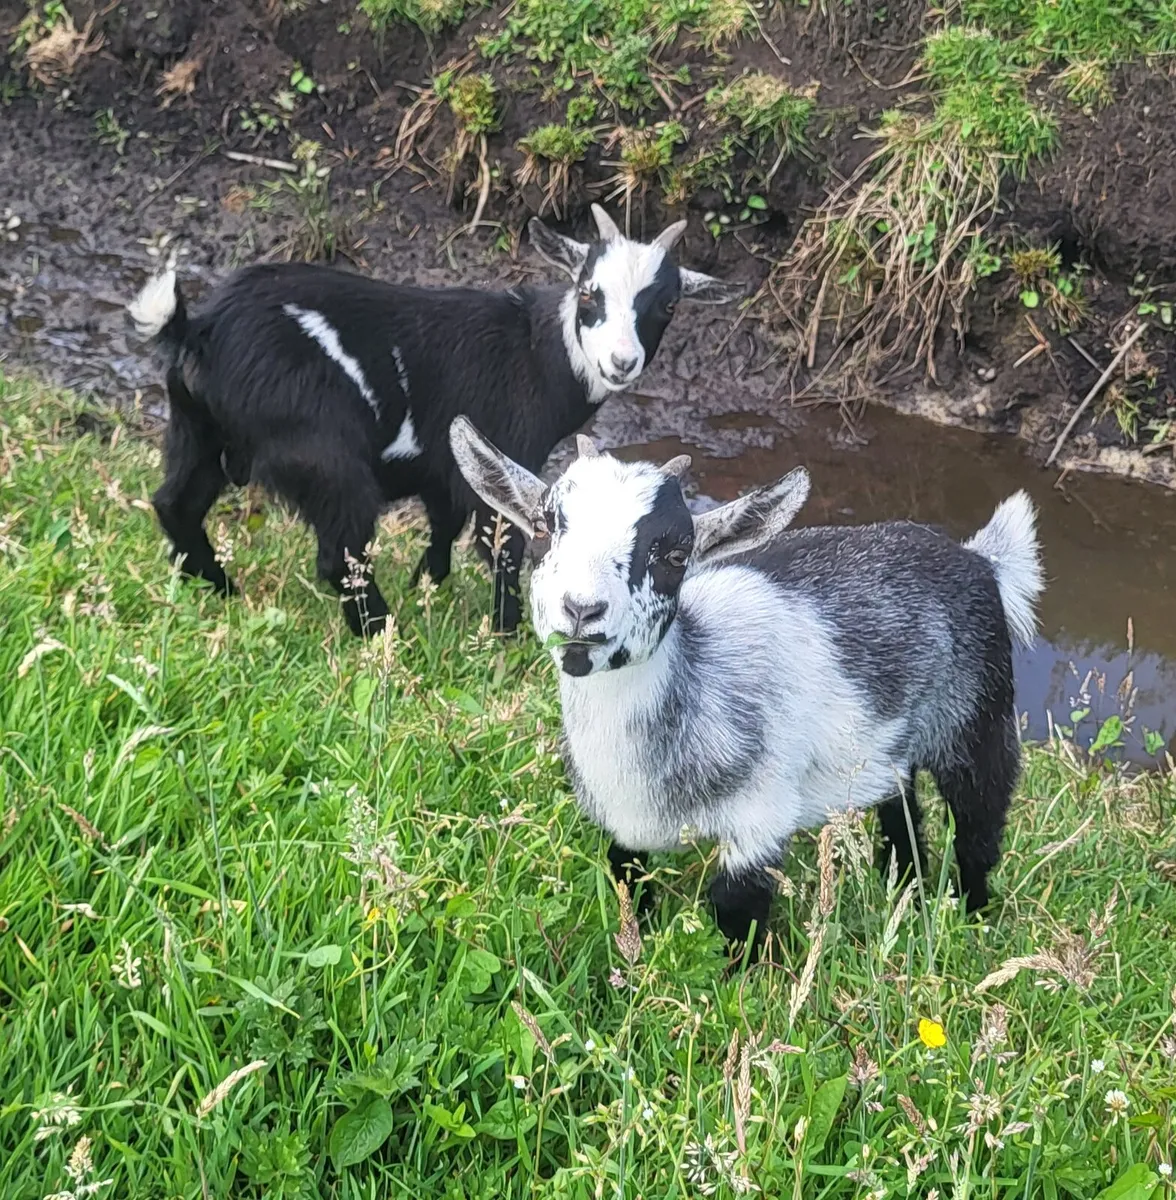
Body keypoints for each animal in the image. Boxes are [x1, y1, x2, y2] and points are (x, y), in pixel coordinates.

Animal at [126, 205, 742, 637]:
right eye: (589, 293)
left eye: (667, 305)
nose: (622, 361)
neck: (537, 352)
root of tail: (200, 330)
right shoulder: (505, 447)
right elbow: (501, 545)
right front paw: (507, 631)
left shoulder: (443, 462)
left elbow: (445, 524)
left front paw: (428, 583)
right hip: (320, 450)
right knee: (340, 552)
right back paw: (381, 631)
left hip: (198, 430)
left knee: (175, 504)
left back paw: (220, 589)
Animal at [450, 416, 1046, 958]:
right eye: (544, 528)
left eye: (675, 555)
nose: (581, 610)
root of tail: (979, 559)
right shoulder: (622, 829)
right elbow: (630, 888)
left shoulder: (760, 820)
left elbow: (736, 913)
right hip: (882, 751)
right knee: (901, 808)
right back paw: (904, 886)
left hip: (980, 715)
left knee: (979, 823)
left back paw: (971, 917)